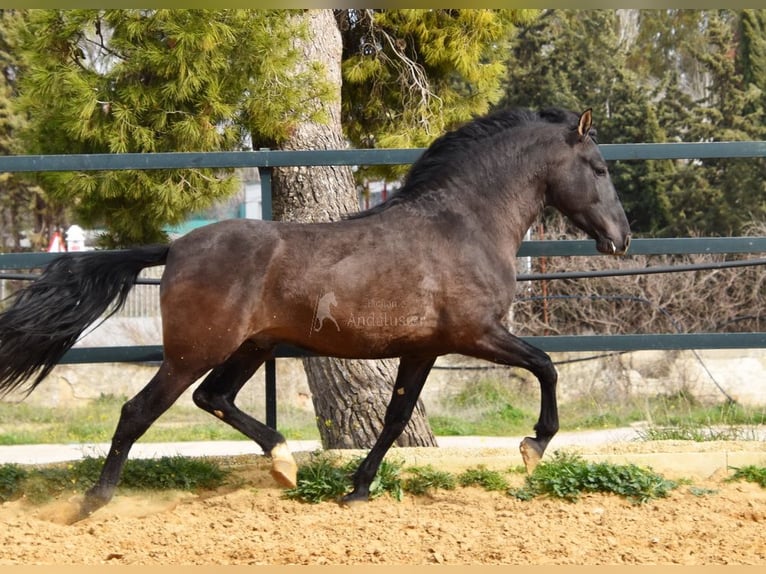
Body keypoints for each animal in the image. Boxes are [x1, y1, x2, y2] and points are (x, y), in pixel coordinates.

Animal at [0, 104, 632, 520]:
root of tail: (175, 248)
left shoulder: (424, 349)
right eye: (599, 168)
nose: (621, 240)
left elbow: (395, 419)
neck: (463, 226)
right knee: (139, 411)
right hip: (194, 351)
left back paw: (284, 462)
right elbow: (545, 366)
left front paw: (356, 489)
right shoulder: (476, 334)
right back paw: (91, 502)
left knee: (214, 397)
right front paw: (533, 448)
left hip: (251, 347)